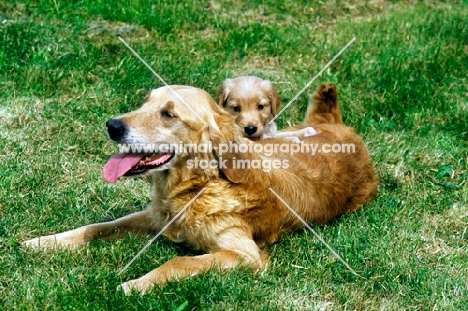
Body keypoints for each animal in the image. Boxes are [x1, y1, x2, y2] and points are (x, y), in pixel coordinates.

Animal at [23, 86, 378, 298]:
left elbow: (178, 263)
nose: (112, 125)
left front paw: (137, 283)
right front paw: (43, 242)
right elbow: (97, 227)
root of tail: (341, 127)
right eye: (145, 102)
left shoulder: (246, 254)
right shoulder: (155, 217)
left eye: (169, 113)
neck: (198, 186)